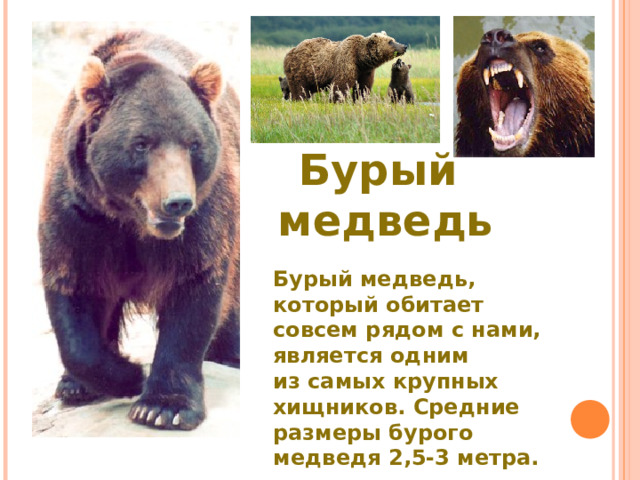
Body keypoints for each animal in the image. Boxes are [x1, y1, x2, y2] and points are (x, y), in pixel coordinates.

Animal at [38, 30, 240, 431]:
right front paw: (126, 375)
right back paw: (72, 384)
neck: (132, 222)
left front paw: (163, 407)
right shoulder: (80, 215)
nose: (177, 202)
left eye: (194, 143)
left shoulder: (205, 218)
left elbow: (195, 291)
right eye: (141, 143)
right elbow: (73, 290)